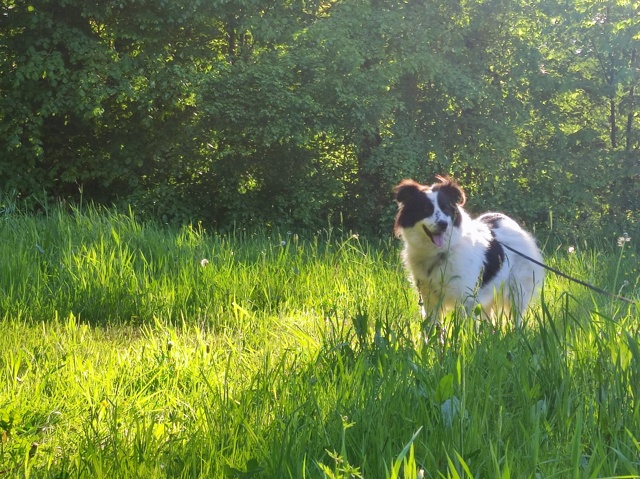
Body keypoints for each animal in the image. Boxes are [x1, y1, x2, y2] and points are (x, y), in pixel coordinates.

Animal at [396, 176, 544, 326]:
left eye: (445, 209)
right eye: (426, 209)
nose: (443, 224)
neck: (440, 253)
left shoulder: (465, 297)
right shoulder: (429, 296)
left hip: (516, 290)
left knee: (517, 314)